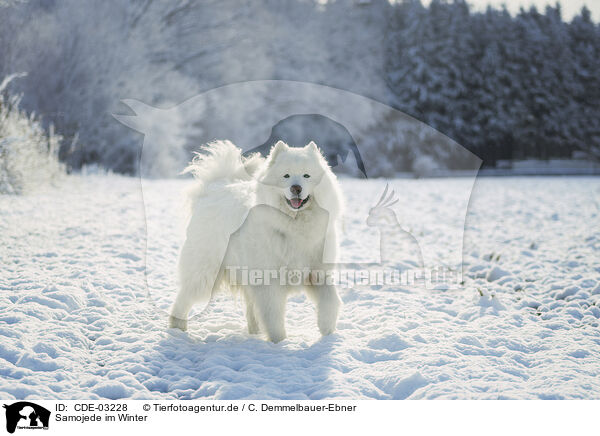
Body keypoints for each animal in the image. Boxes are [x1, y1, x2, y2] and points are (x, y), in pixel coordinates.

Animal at [171, 138, 344, 342]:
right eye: (286, 176)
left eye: (306, 175)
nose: (296, 188)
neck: (294, 225)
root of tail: (213, 189)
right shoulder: (269, 281)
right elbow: (274, 316)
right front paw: (279, 341)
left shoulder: (318, 273)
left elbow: (330, 302)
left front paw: (328, 332)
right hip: (205, 273)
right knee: (183, 299)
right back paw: (177, 329)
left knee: (251, 307)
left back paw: (255, 331)